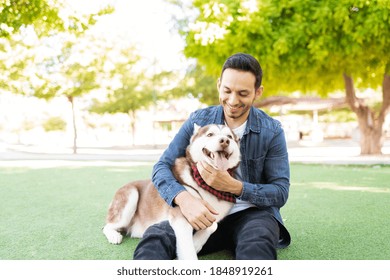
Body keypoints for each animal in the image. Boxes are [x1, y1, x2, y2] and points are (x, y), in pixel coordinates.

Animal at [102, 123, 239, 260]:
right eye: (210, 134)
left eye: (229, 137)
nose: (225, 141)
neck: (208, 185)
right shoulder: (182, 215)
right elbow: (188, 251)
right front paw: (192, 249)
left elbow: (213, 225)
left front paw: (196, 243)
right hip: (131, 195)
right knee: (107, 226)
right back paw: (114, 235)